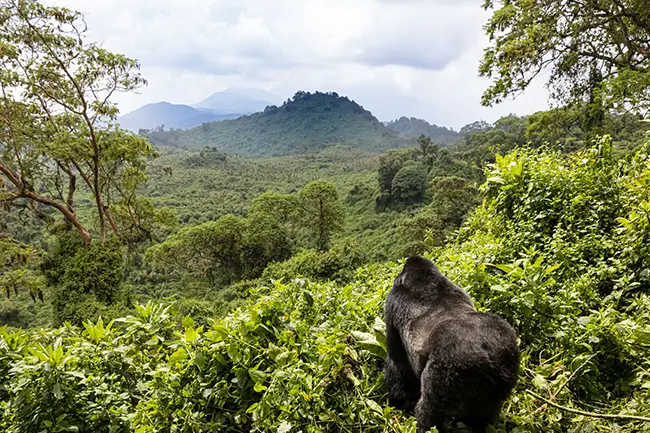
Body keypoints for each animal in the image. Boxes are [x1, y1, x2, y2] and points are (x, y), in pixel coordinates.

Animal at [382, 256, 520, 432]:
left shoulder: (392, 300)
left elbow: (396, 359)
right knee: (486, 414)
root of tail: (488, 356)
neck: (425, 280)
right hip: (507, 360)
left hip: (449, 369)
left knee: (429, 411)